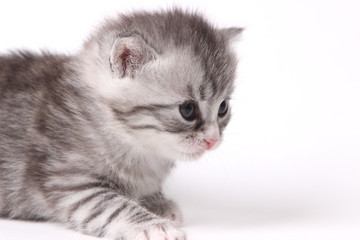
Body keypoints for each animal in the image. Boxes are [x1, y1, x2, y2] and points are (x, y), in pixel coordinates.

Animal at [0, 8, 242, 240]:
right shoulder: (71, 182)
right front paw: (153, 224)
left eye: (223, 108)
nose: (212, 139)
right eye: (188, 110)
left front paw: (155, 201)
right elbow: (114, 206)